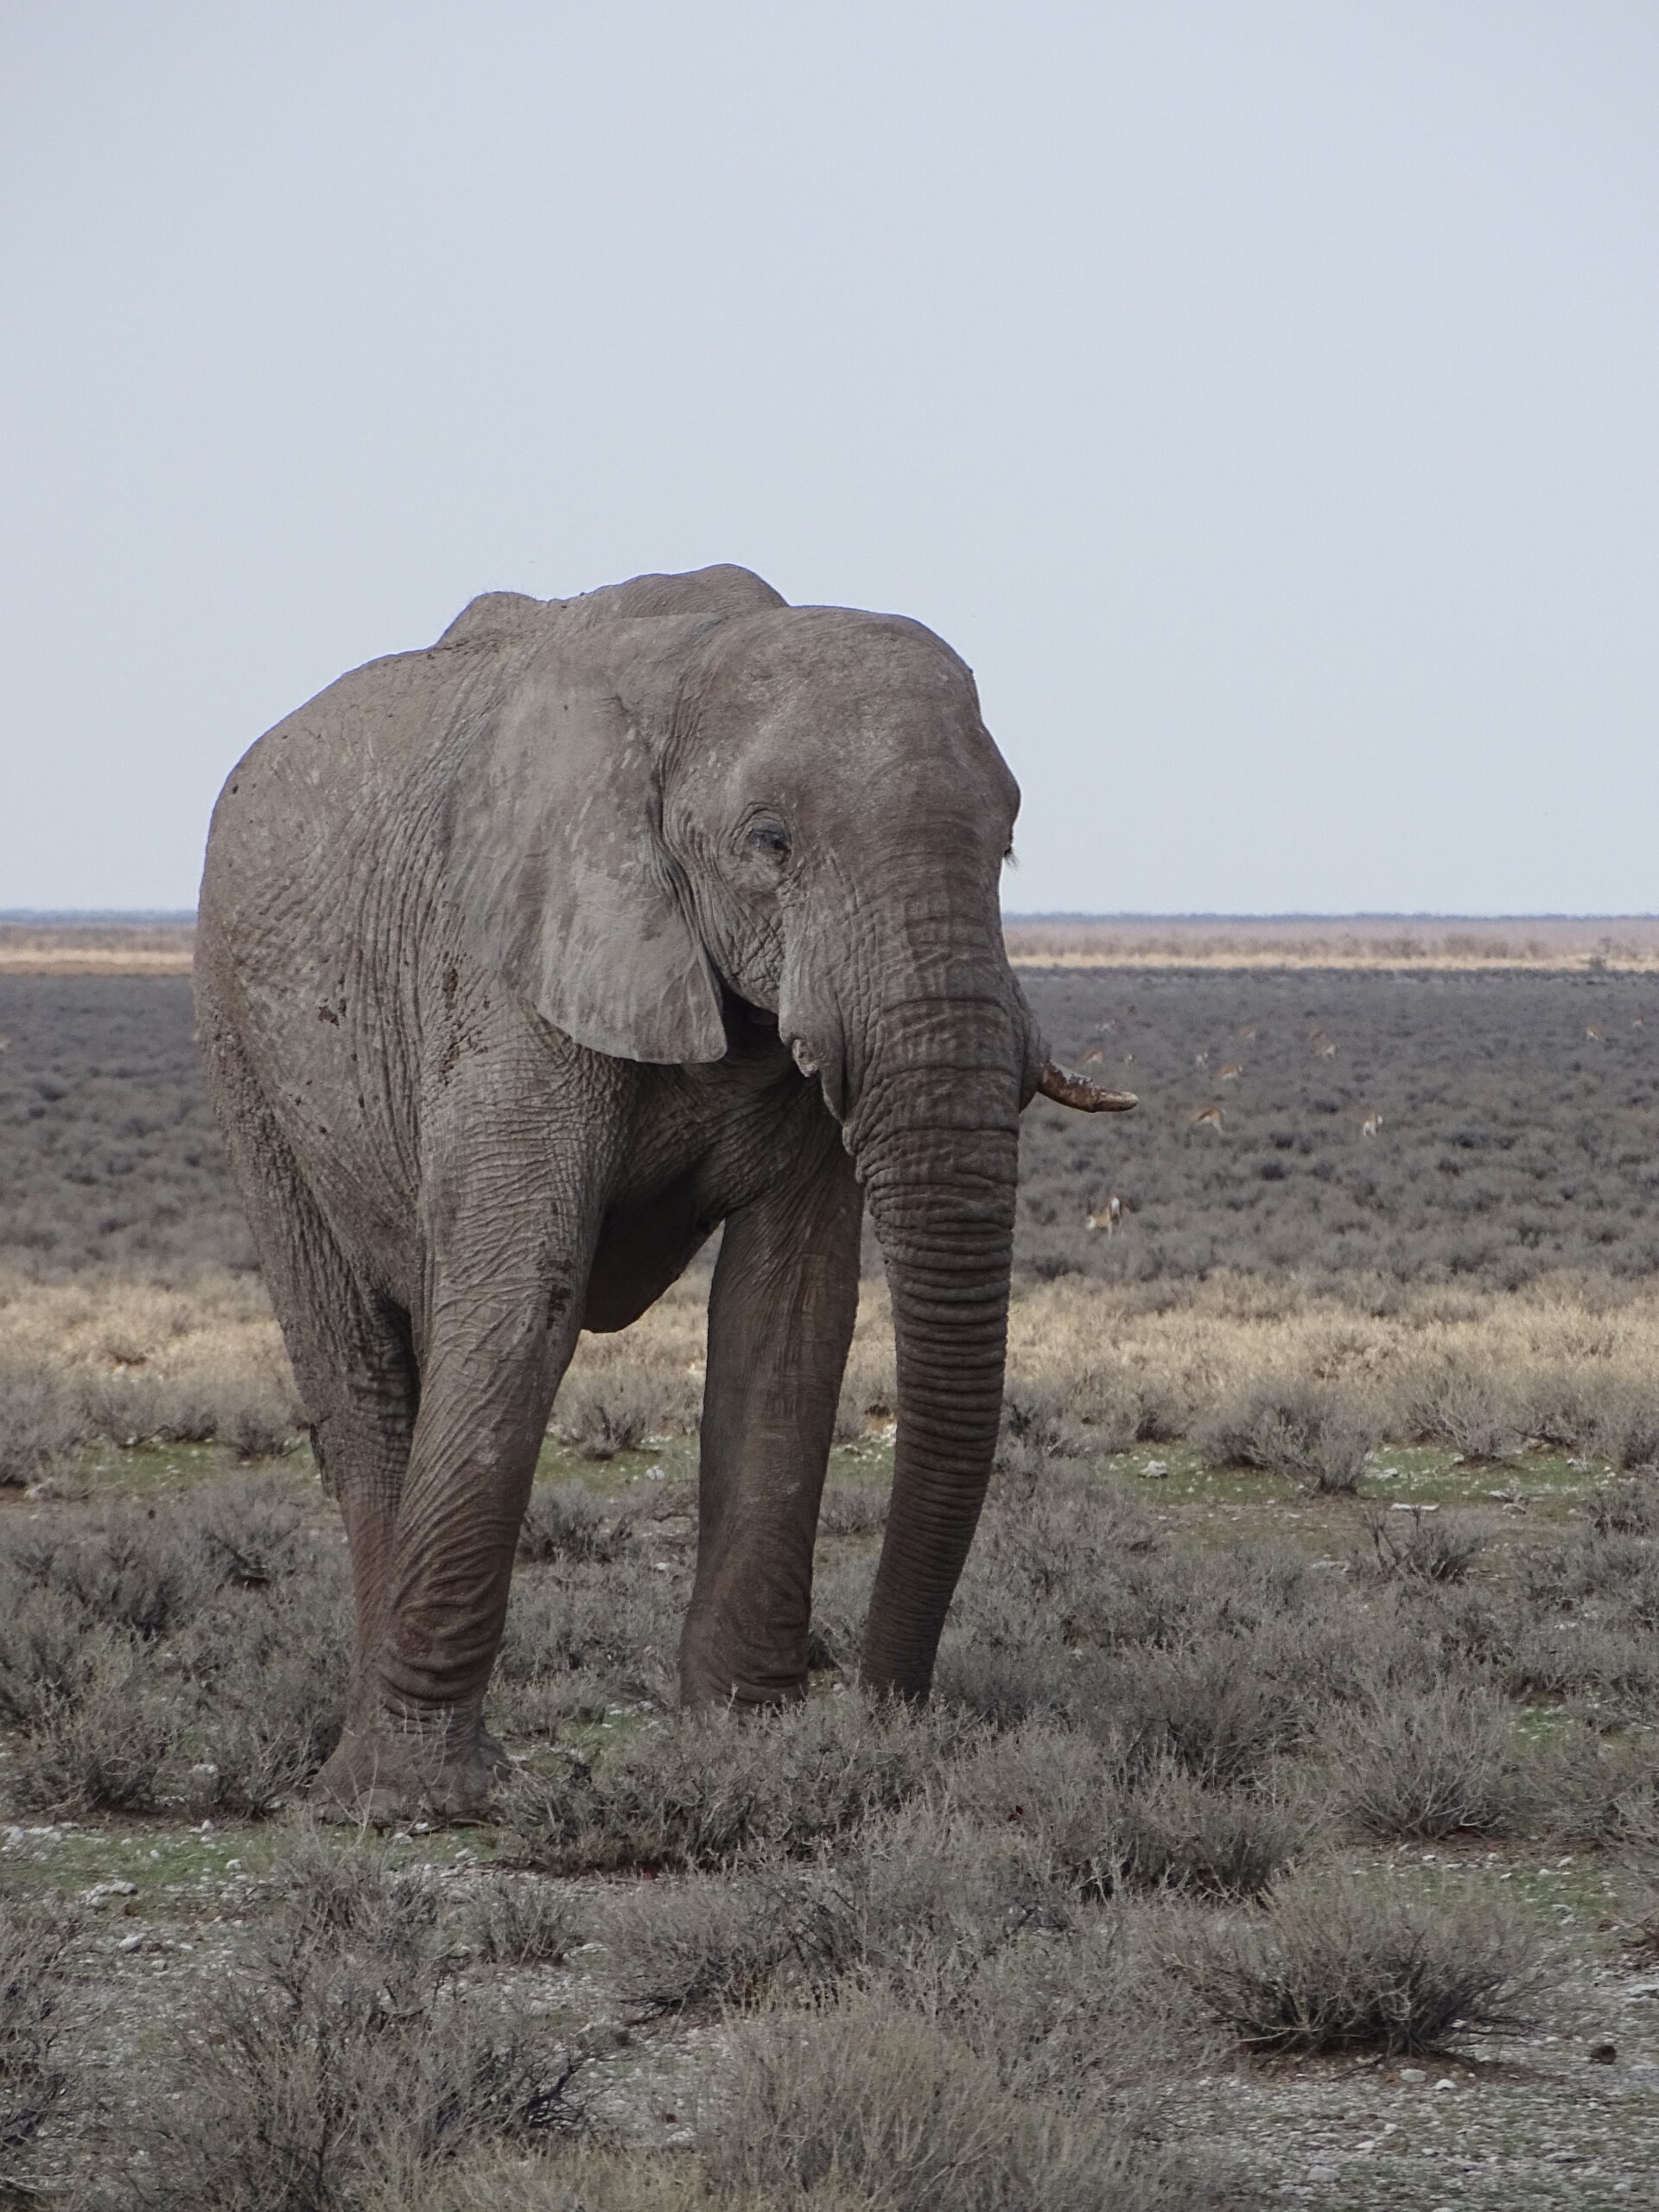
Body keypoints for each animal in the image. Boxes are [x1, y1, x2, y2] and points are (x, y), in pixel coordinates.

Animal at [191, 557, 1132, 1814]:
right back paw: (370, 1772)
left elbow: (786, 1318)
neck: (691, 672)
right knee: (359, 1369)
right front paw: (426, 1801)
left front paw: (745, 1744)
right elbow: (522, 1297)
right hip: (237, 1037)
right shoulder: (515, 966)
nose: (885, 1708)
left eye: (1008, 848)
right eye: (769, 841)